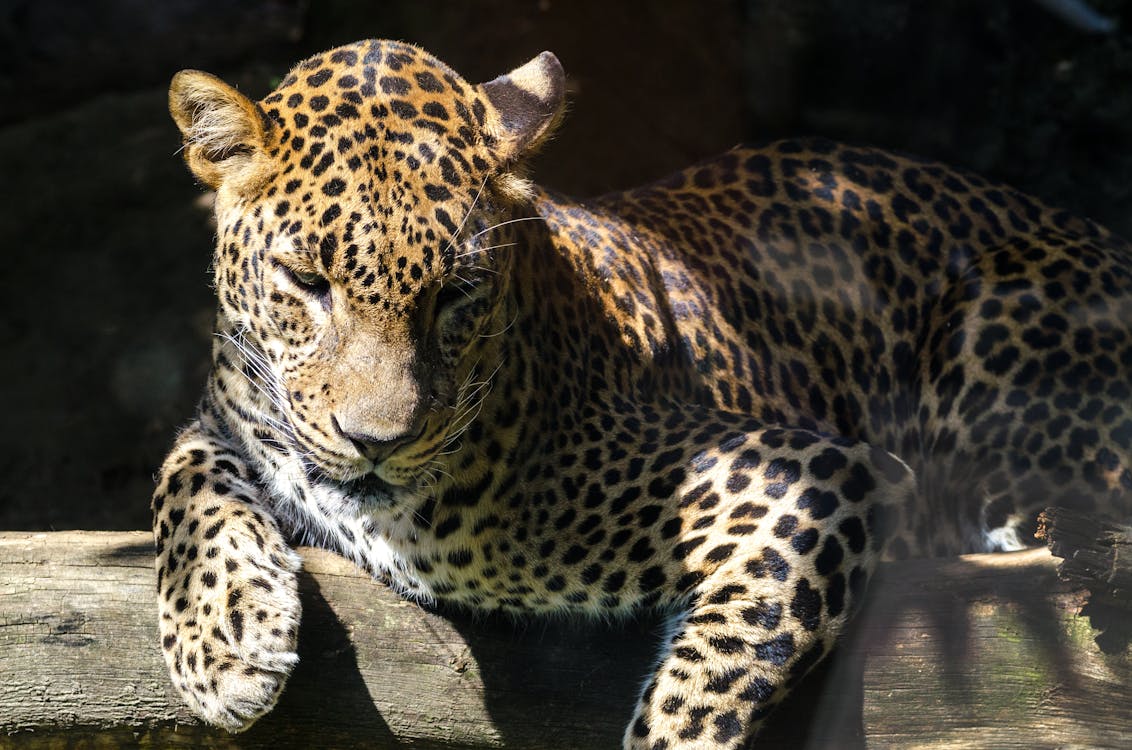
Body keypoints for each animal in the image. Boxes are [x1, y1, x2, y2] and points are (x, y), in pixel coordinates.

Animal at [155, 38, 1132, 746]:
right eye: (305, 280)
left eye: (455, 294)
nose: (378, 442)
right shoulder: (230, 413)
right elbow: (185, 475)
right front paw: (225, 639)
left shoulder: (813, 474)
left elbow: (716, 670)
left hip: (1003, 301)